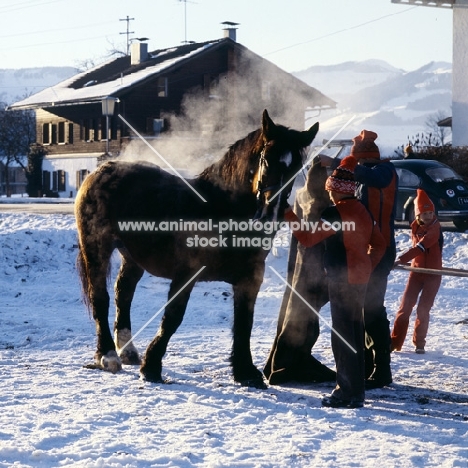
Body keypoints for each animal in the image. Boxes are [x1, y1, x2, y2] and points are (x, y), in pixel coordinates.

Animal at [76, 109, 318, 388]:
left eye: (297, 167)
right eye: (266, 159)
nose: (272, 214)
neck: (220, 209)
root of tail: (101, 170)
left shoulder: (250, 278)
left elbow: (244, 321)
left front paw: (245, 371)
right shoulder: (187, 273)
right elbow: (173, 317)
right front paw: (152, 367)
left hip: (132, 257)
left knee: (123, 294)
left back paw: (128, 351)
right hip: (97, 248)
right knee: (100, 297)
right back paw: (108, 356)